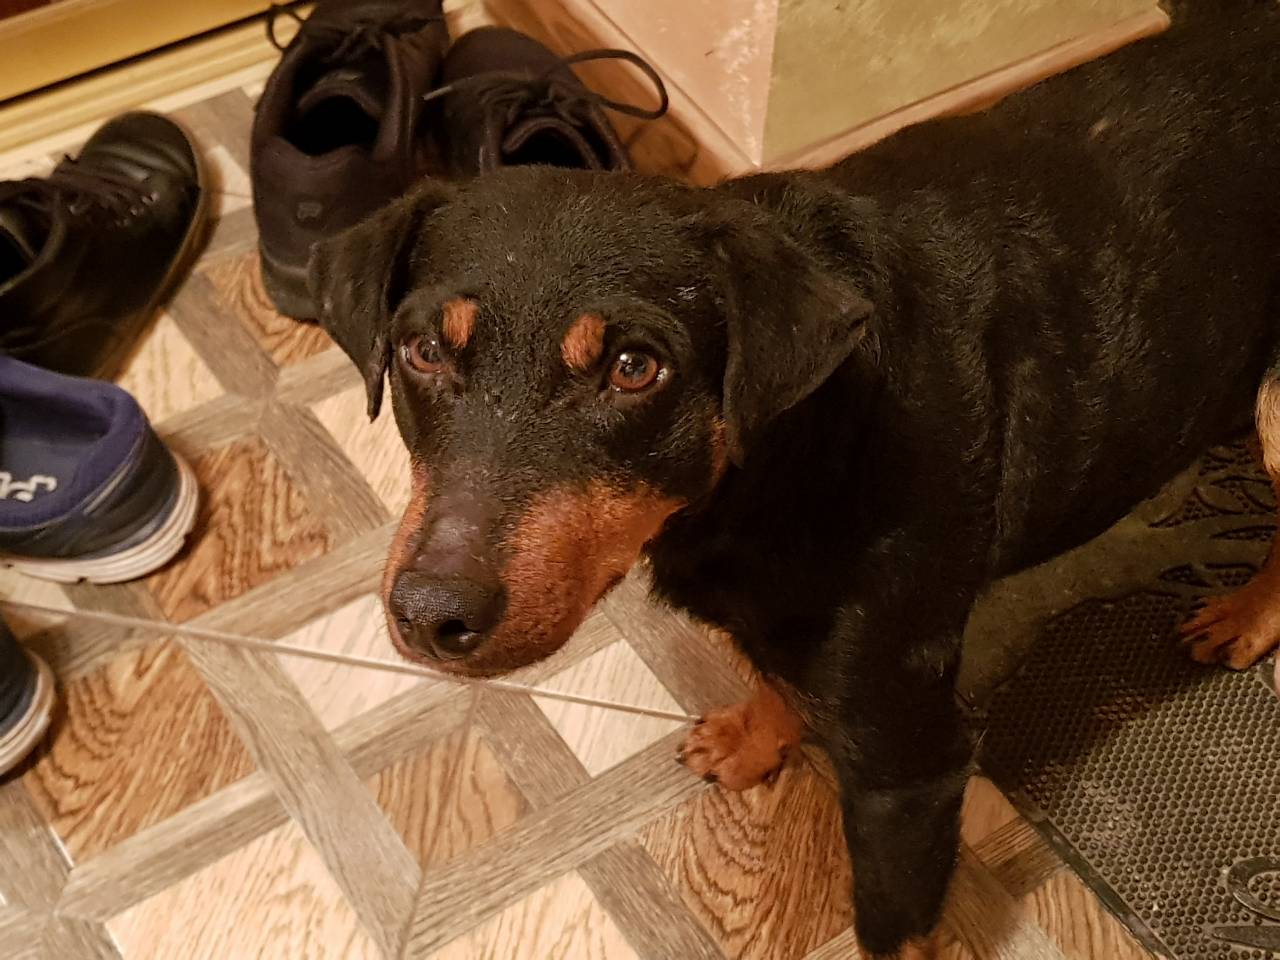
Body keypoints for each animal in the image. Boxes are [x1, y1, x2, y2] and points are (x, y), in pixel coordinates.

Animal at [309, 2, 1279, 956]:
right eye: (422, 350)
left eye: (634, 368)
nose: (434, 616)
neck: (779, 461)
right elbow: (774, 678)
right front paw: (753, 740)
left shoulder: (910, 768)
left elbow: (892, 925)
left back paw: (1242, 618)